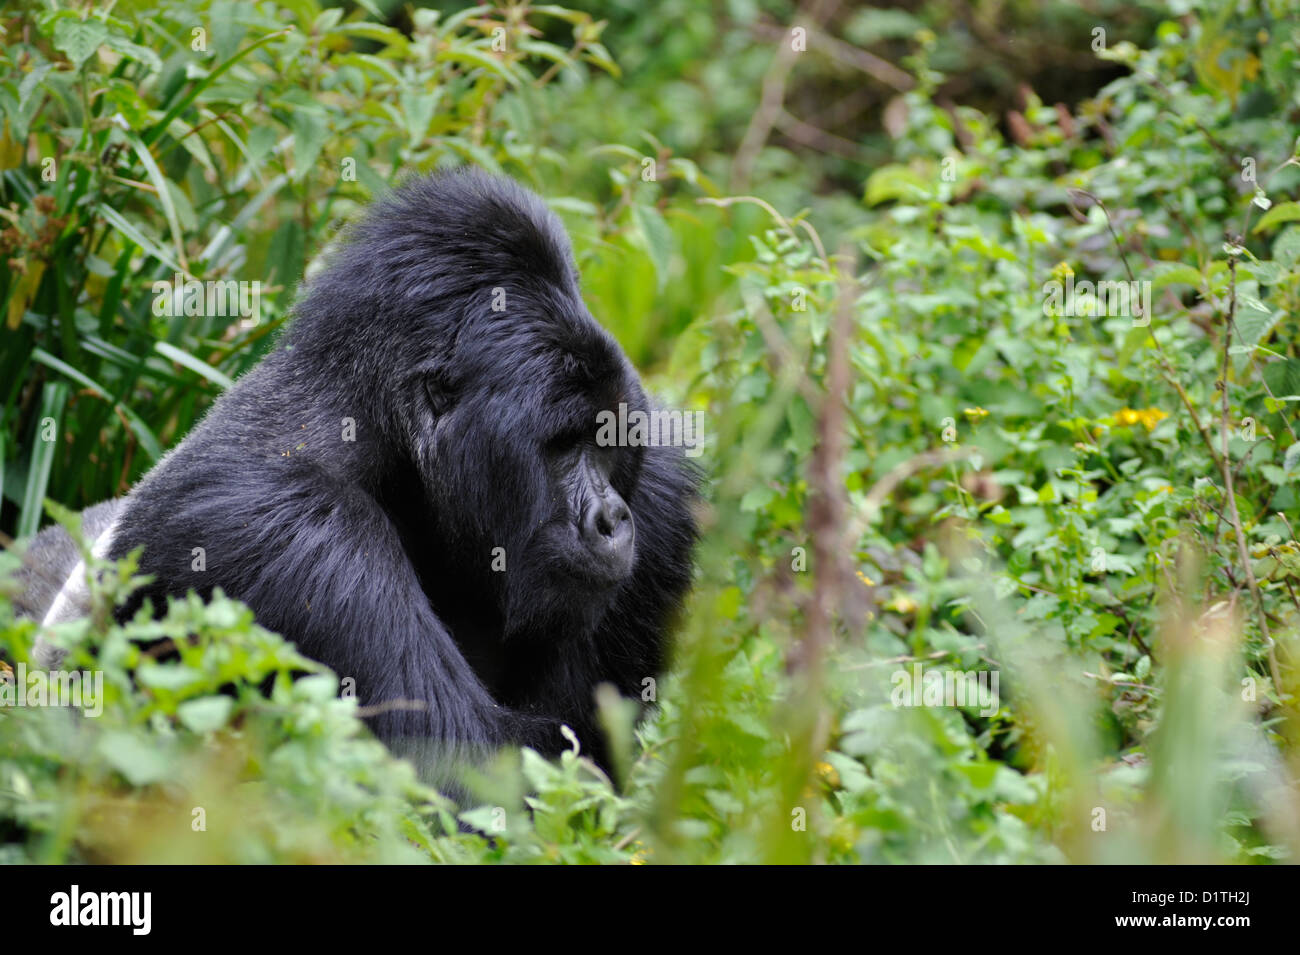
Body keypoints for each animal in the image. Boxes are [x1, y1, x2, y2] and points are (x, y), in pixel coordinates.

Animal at [12, 170, 702, 784]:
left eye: (605, 440)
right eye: (562, 445)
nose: (612, 519)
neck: (376, 440)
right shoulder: (293, 525)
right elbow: (465, 773)